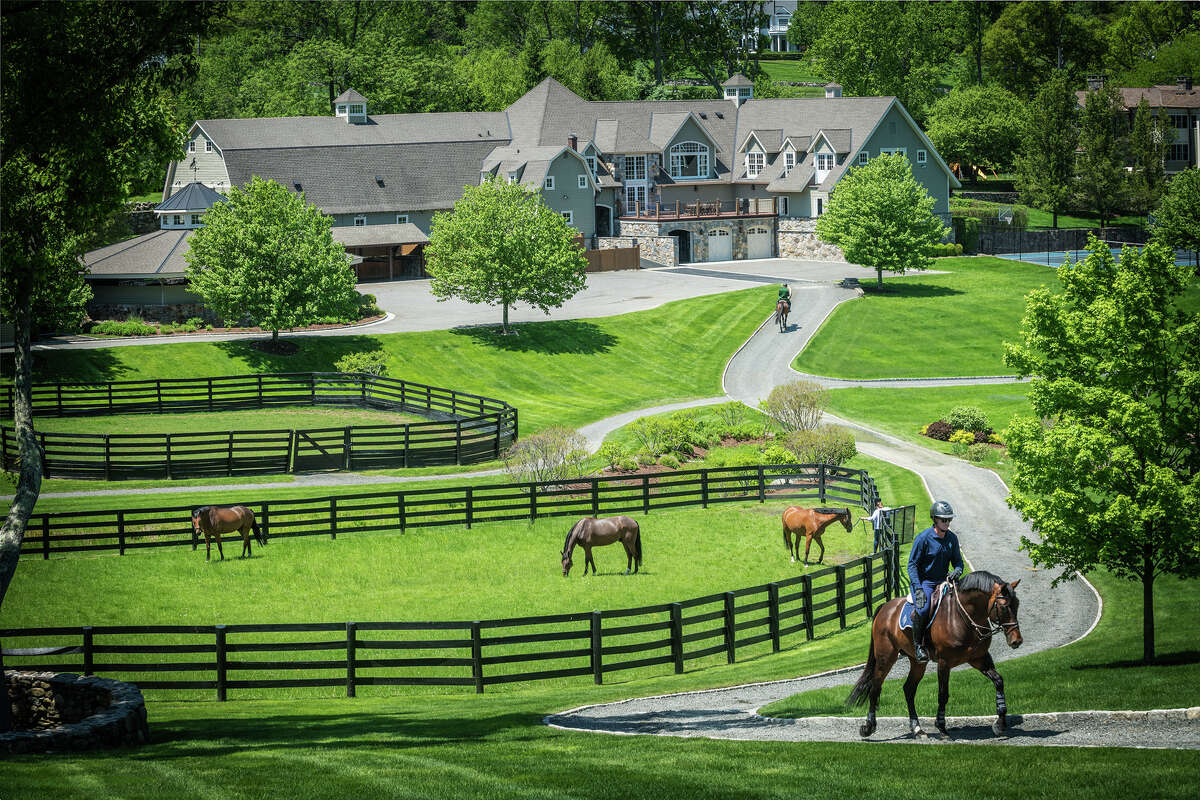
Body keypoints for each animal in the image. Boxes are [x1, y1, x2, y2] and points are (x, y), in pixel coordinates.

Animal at [844, 568, 1022, 738]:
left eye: (1017, 605)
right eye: (1004, 606)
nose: (1017, 641)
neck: (962, 617)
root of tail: (885, 607)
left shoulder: (979, 658)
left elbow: (999, 681)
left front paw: (1000, 723)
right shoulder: (944, 662)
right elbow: (943, 694)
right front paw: (941, 727)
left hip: (917, 662)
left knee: (908, 689)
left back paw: (917, 729)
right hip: (885, 657)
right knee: (875, 687)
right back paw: (868, 727)